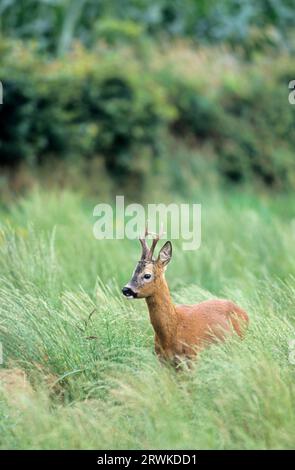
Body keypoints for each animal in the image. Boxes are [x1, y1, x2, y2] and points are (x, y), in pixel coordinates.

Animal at [122, 226, 250, 366]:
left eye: (147, 275)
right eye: (133, 272)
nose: (126, 289)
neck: (173, 328)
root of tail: (244, 313)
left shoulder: (193, 355)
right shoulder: (162, 360)